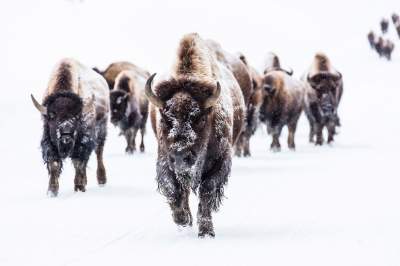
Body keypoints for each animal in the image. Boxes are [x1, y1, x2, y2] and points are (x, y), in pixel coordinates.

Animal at [30, 57, 109, 195]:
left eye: (77, 116)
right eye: (52, 115)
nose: (66, 136)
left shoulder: (83, 142)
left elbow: (78, 163)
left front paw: (79, 187)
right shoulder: (50, 142)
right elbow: (54, 164)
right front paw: (52, 191)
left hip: (102, 129)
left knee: (99, 153)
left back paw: (101, 180)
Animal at [147, 32, 245, 237]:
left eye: (200, 119)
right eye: (165, 118)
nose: (180, 156)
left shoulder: (220, 162)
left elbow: (207, 191)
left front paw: (206, 231)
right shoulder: (164, 161)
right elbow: (173, 189)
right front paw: (183, 220)